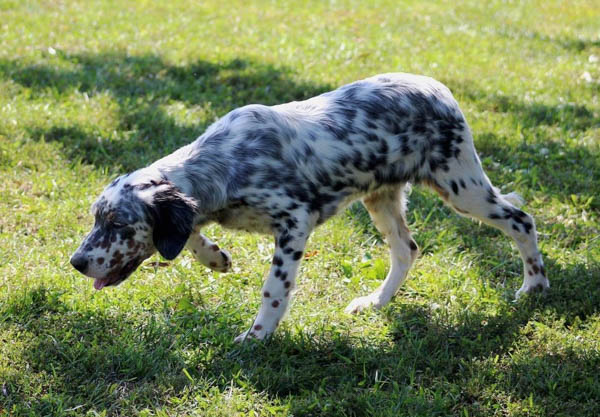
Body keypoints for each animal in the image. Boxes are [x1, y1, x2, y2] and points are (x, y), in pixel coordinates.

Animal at [70, 73, 548, 342]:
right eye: (97, 219)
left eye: (118, 223)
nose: (76, 263)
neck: (226, 162)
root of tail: (438, 88)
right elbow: (189, 231)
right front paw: (215, 257)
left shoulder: (294, 222)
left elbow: (274, 290)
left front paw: (256, 337)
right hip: (382, 198)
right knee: (406, 250)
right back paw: (376, 303)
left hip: (461, 185)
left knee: (521, 220)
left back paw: (533, 288)